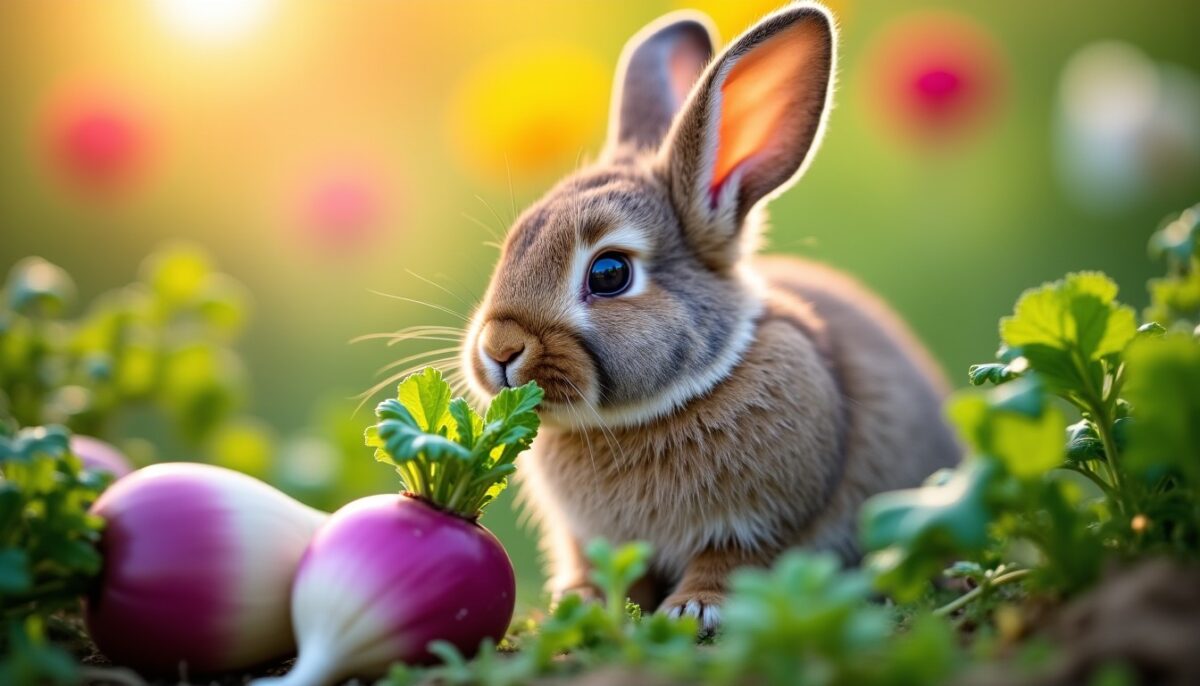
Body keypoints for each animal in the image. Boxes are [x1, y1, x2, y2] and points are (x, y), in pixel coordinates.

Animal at [460, 1, 960, 633]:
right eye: (514, 243)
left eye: (609, 273)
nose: (499, 349)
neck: (645, 415)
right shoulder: (586, 536)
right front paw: (580, 603)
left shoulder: (763, 521)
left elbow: (731, 562)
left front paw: (692, 609)